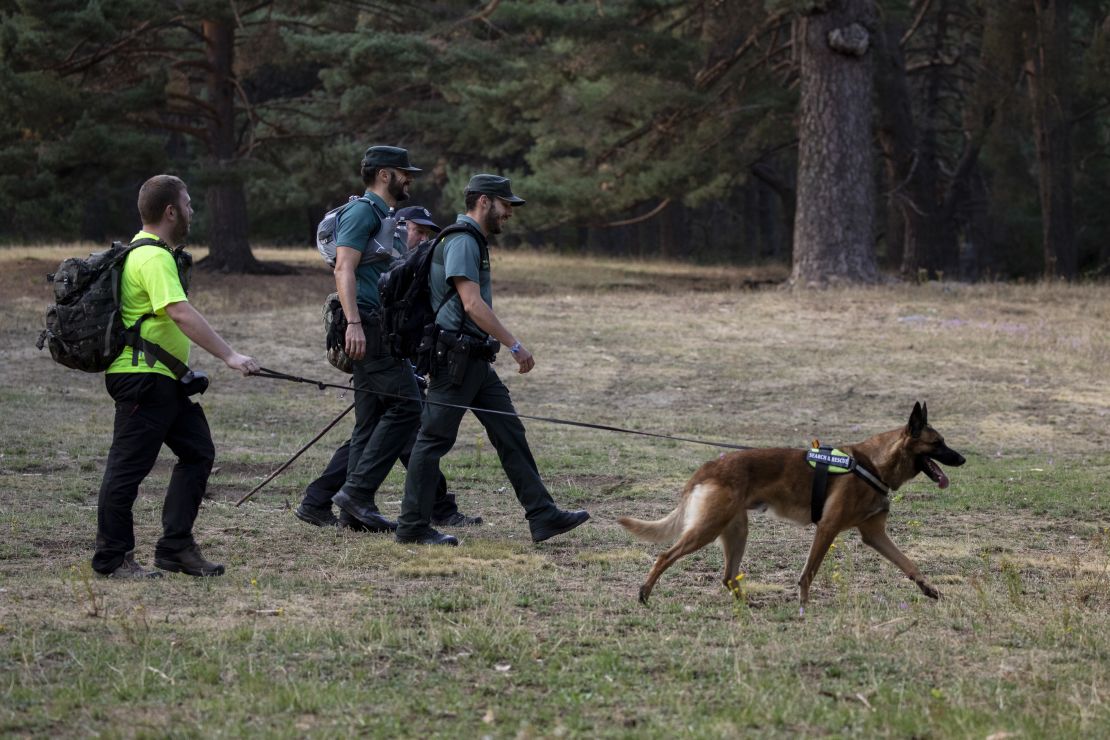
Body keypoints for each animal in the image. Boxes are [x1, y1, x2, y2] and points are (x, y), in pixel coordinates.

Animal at [621, 401, 967, 603]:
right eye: (938, 444)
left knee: (728, 576)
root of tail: (706, 468)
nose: (963, 459)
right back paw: (644, 593)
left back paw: (749, 605)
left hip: (736, 532)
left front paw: (929, 589)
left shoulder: (874, 534)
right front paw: (803, 605)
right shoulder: (827, 528)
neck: (872, 464)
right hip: (708, 528)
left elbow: (908, 563)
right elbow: (808, 572)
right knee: (665, 555)